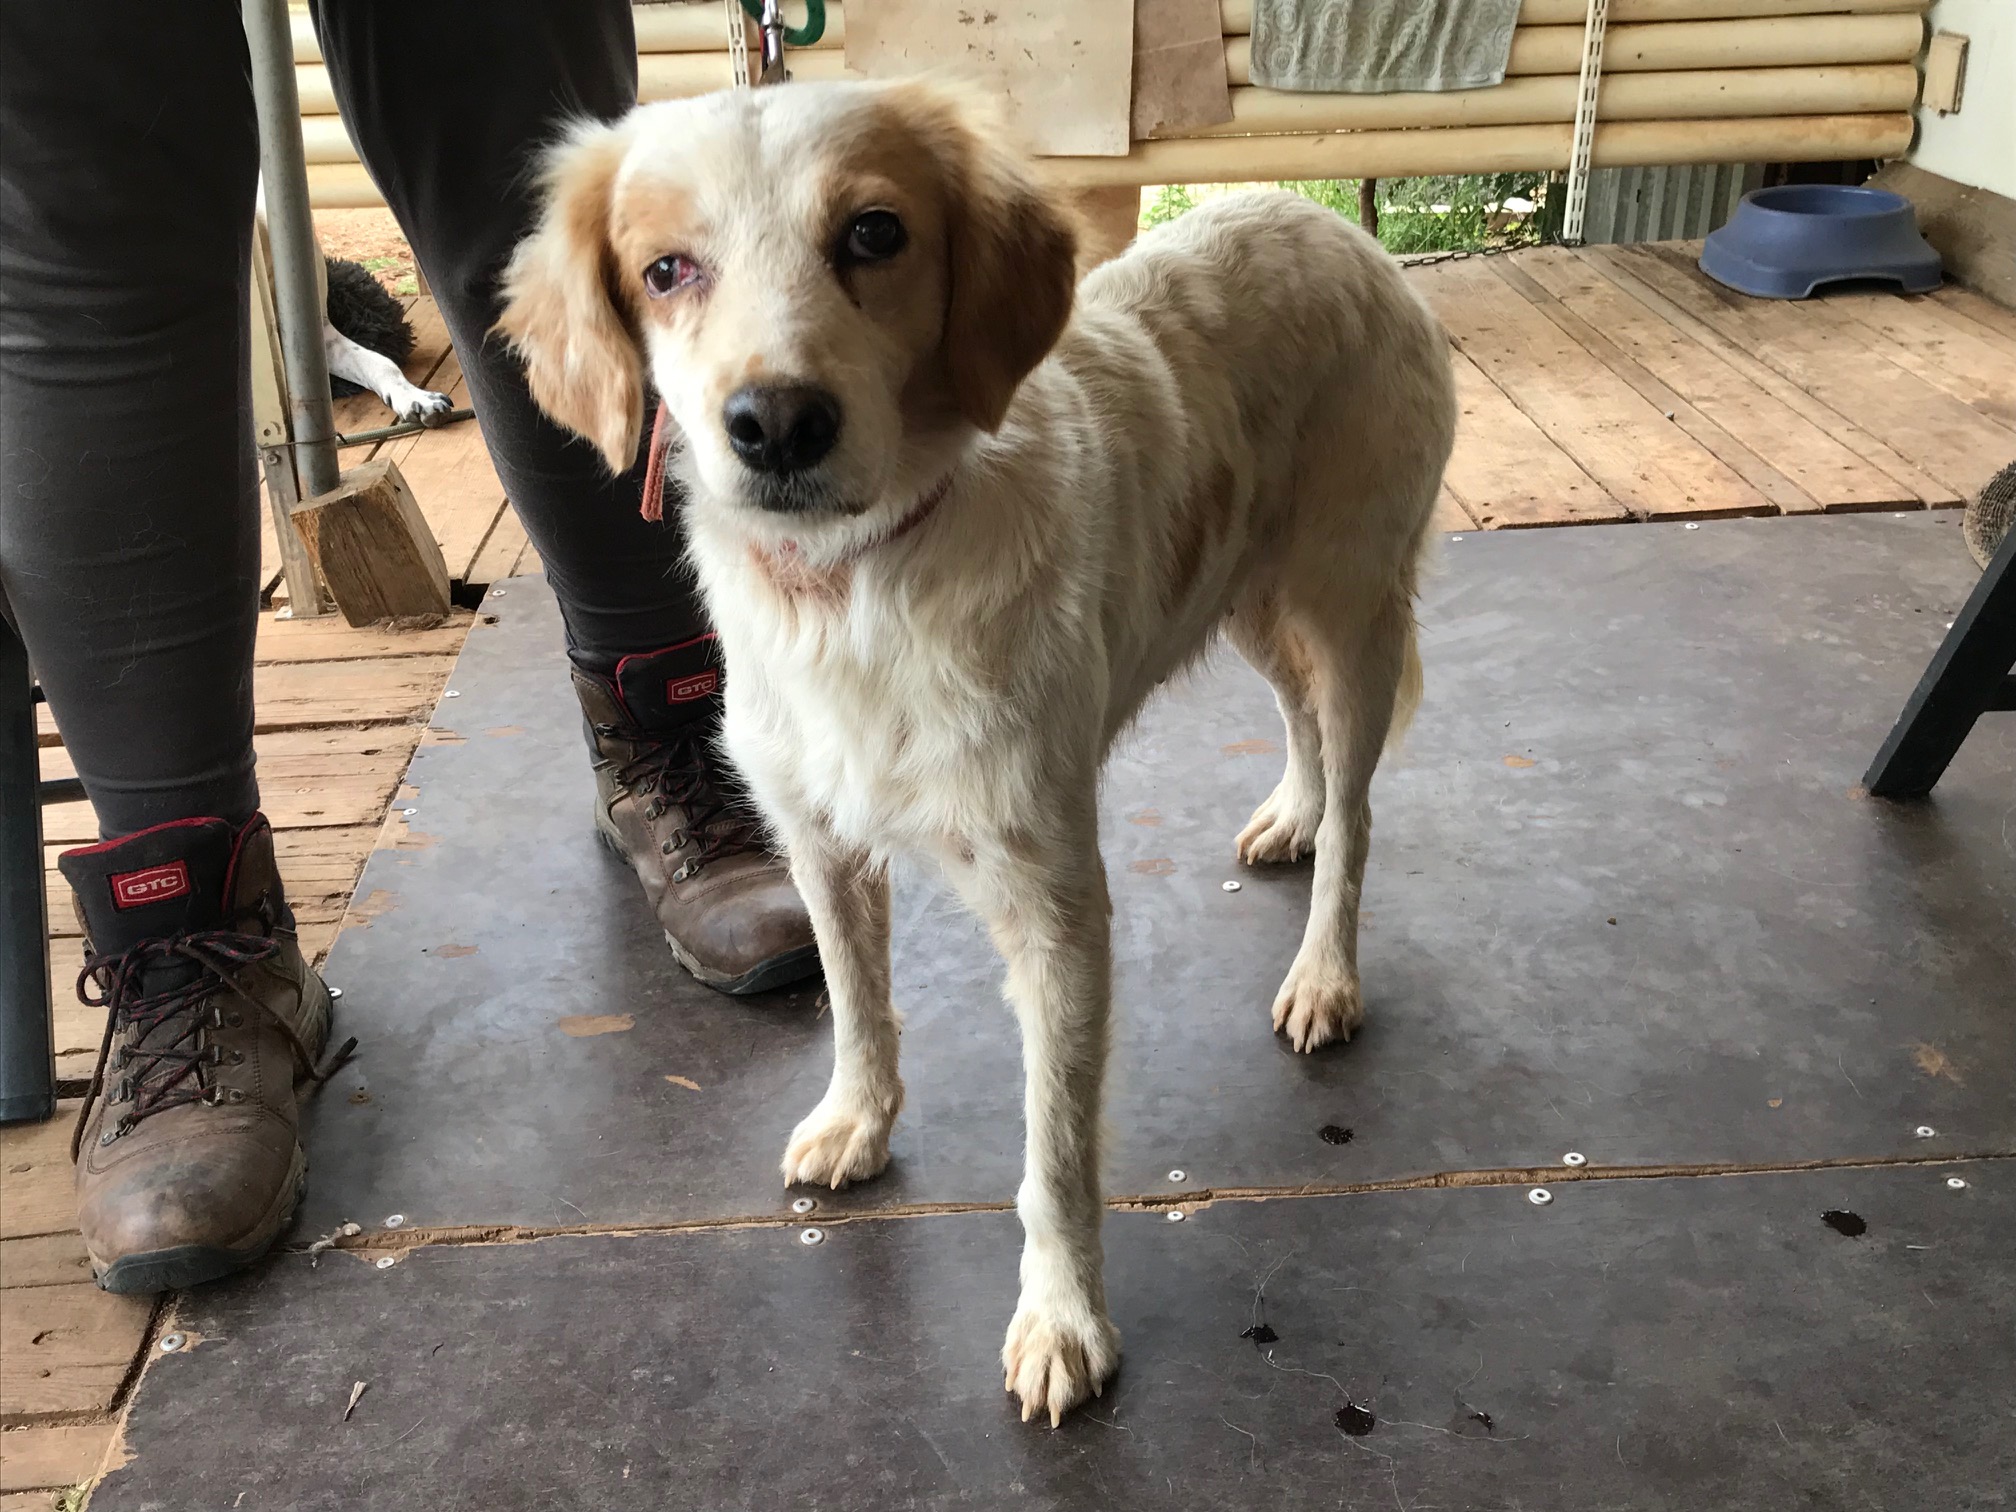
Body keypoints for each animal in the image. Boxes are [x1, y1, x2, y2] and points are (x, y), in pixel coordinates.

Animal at [497, 78, 1456, 1426]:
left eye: (875, 234)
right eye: (666, 269)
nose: (775, 424)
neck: (853, 588)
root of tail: (1328, 224)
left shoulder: (1056, 908)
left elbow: (1053, 1155)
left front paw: (1062, 1322)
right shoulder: (818, 843)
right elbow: (858, 1006)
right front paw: (858, 1120)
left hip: (1347, 604)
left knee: (1361, 812)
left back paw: (1326, 969)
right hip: (1248, 600)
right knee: (1301, 727)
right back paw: (1294, 815)